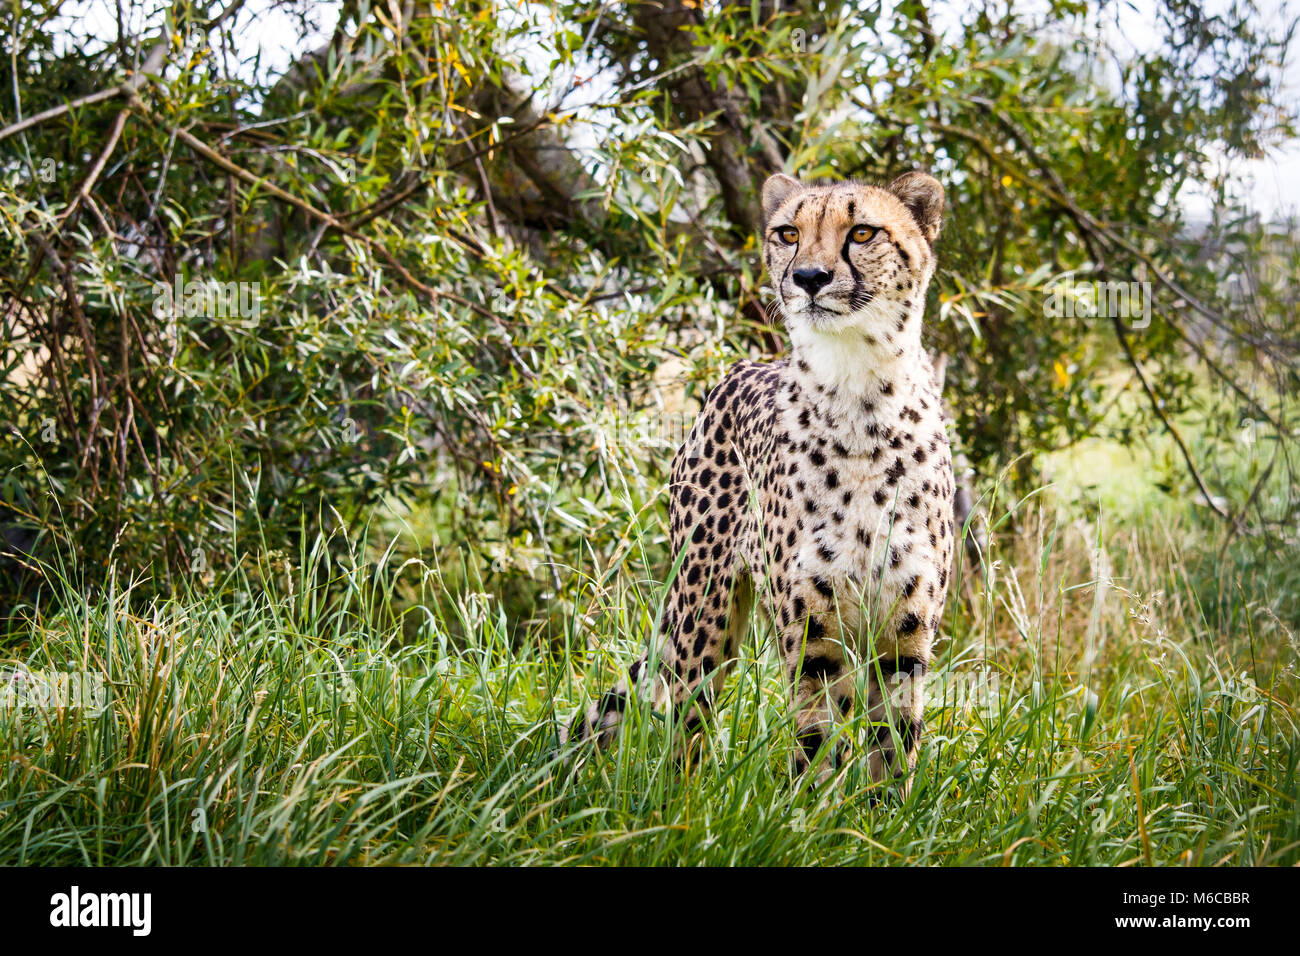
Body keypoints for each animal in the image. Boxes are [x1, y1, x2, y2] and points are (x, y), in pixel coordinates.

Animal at [569, 171, 956, 790]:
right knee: (684, 720)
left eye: (863, 232)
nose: (809, 277)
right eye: (788, 233)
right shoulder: (813, 640)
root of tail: (738, 369)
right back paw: (679, 802)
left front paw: (884, 812)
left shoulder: (905, 638)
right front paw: (812, 808)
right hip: (701, 614)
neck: (860, 397)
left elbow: (894, 750)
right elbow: (816, 744)